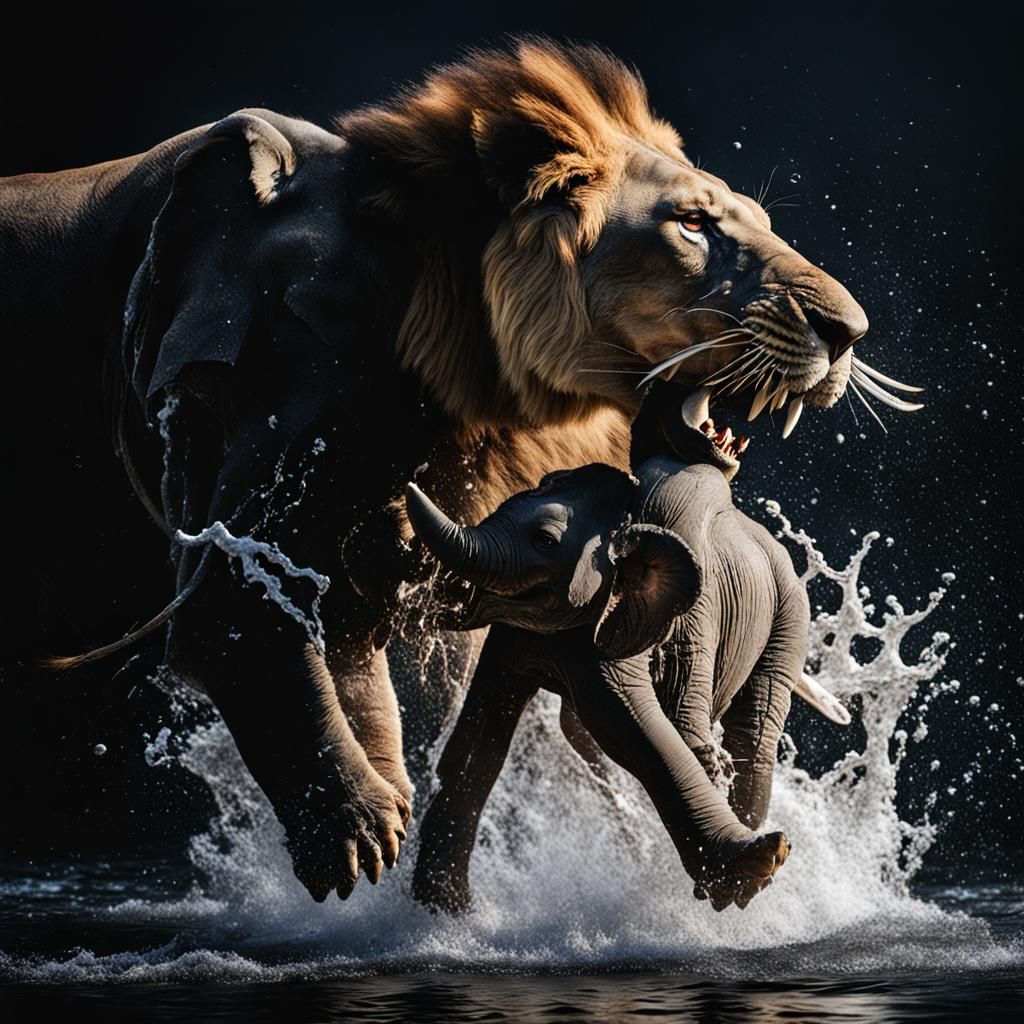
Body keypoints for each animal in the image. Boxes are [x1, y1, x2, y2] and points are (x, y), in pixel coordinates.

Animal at [404, 421, 835, 911]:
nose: (410, 478)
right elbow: (481, 733)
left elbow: (642, 729)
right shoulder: (519, 637)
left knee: (753, 730)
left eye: (544, 541)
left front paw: (752, 870)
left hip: (789, 614)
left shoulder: (679, 623)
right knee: (580, 731)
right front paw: (447, 910)